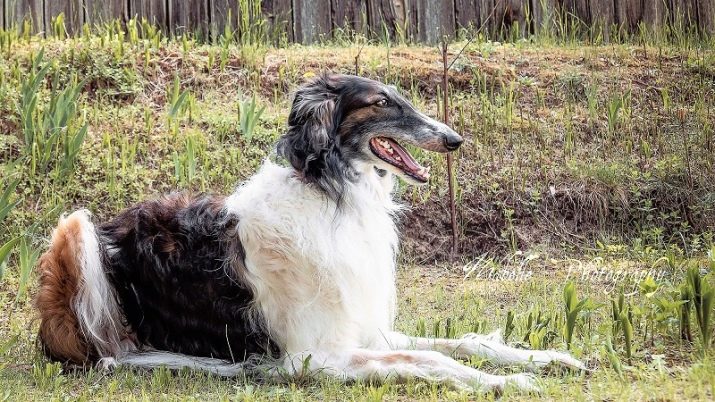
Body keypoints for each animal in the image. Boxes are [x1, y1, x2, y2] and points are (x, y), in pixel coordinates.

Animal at [35, 74, 588, 392]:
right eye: (381, 102)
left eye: (404, 98)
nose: (455, 140)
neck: (332, 198)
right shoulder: (317, 354)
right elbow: (428, 356)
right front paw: (508, 381)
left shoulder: (362, 328)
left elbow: (465, 343)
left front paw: (548, 358)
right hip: (75, 228)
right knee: (100, 351)